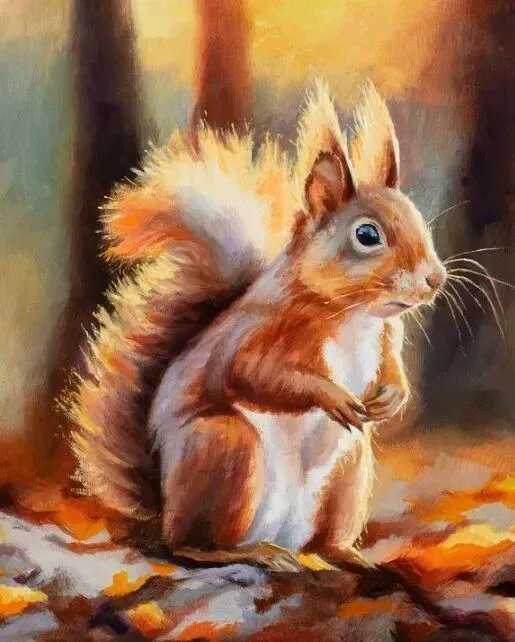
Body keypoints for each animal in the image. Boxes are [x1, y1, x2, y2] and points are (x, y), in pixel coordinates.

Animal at [65, 81, 446, 572]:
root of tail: (162, 512)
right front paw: (332, 396)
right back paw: (251, 552)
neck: (354, 314)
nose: (435, 278)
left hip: (350, 469)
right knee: (189, 544)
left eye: (419, 220)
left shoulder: (386, 337)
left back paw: (347, 555)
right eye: (367, 236)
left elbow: (391, 367)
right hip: (226, 449)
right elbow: (252, 374)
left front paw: (393, 397)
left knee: (325, 540)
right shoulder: (259, 332)